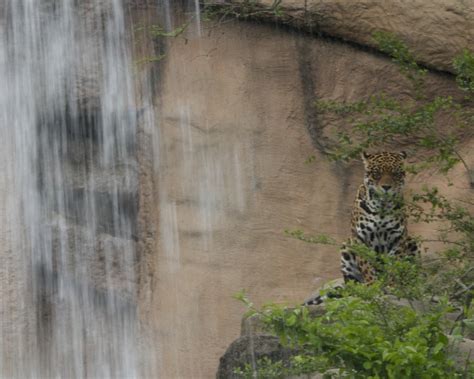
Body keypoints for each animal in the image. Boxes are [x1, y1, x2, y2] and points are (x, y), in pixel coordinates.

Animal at [304, 151, 418, 306]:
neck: (382, 207)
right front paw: (371, 286)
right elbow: (366, 266)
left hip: (412, 242)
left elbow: (395, 264)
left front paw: (393, 286)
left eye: (395, 173)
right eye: (376, 173)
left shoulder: (399, 238)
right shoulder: (360, 238)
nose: (386, 187)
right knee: (351, 283)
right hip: (347, 247)